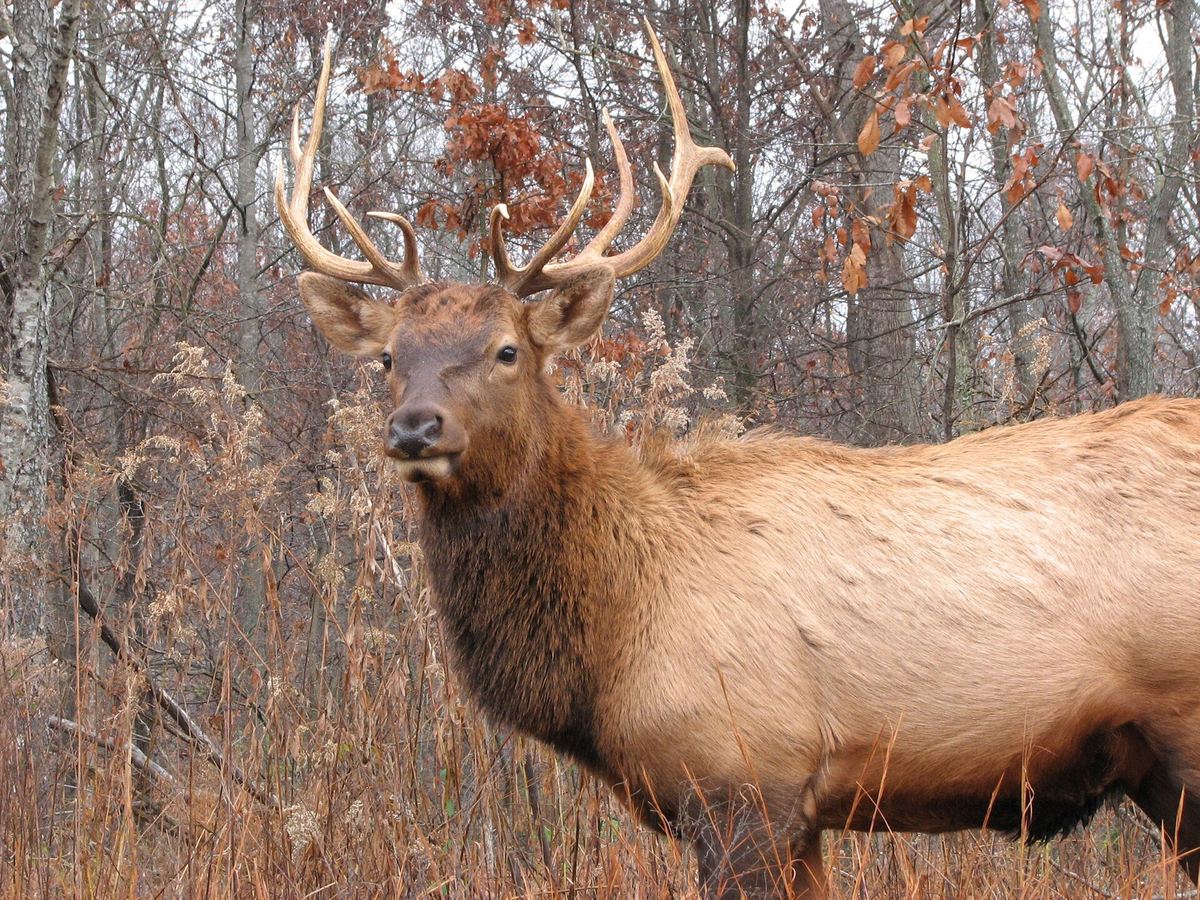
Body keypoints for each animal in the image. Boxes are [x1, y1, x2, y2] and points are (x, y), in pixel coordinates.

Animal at [276, 25, 1200, 898]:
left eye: (508, 350)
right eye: (388, 357)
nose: (415, 429)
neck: (614, 633)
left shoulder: (743, 774)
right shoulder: (798, 812)